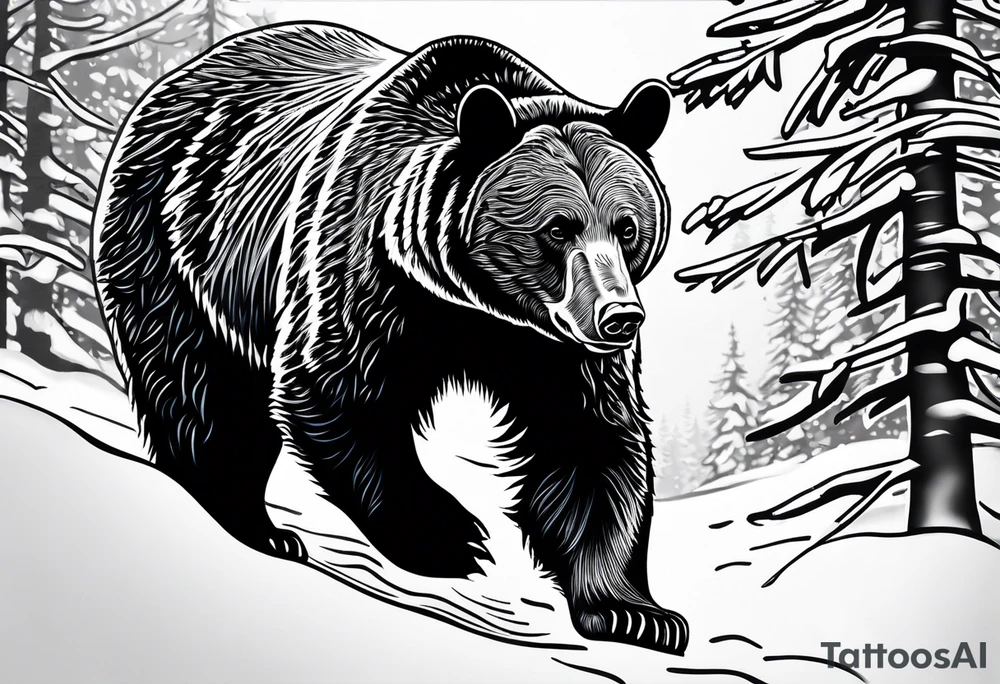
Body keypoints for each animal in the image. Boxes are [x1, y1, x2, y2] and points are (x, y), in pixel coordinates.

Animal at [92, 22, 686, 655]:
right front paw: (452, 537)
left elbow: (590, 440)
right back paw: (255, 521)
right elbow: (340, 390)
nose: (619, 316)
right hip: (173, 247)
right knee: (202, 393)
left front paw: (635, 612)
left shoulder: (554, 348)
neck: (478, 304)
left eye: (627, 226)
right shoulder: (367, 264)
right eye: (557, 228)